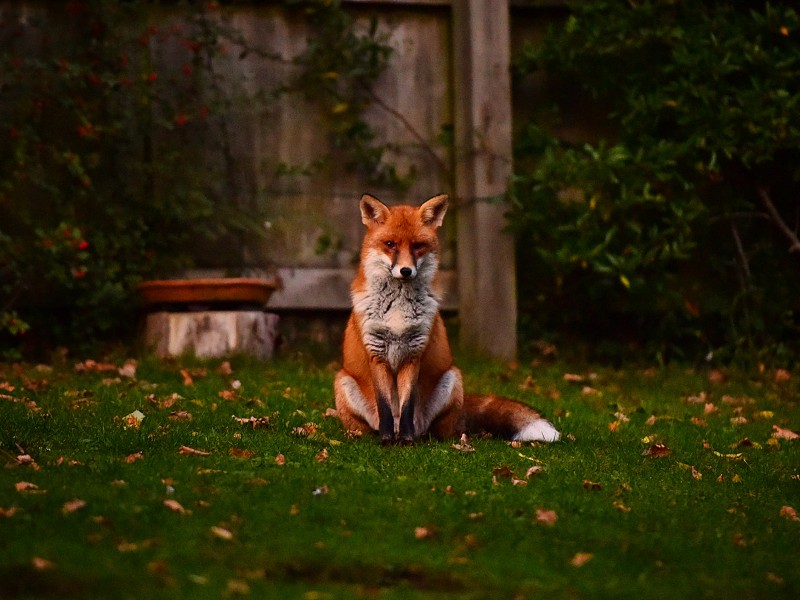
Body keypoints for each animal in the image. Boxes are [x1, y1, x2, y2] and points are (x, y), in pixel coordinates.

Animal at [333, 193, 560, 444]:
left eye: (418, 246)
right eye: (390, 244)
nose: (405, 271)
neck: (397, 309)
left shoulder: (414, 353)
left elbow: (407, 405)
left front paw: (406, 441)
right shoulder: (376, 352)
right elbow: (385, 406)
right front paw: (386, 440)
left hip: (452, 378)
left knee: (436, 429)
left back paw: (421, 437)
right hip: (342, 381)